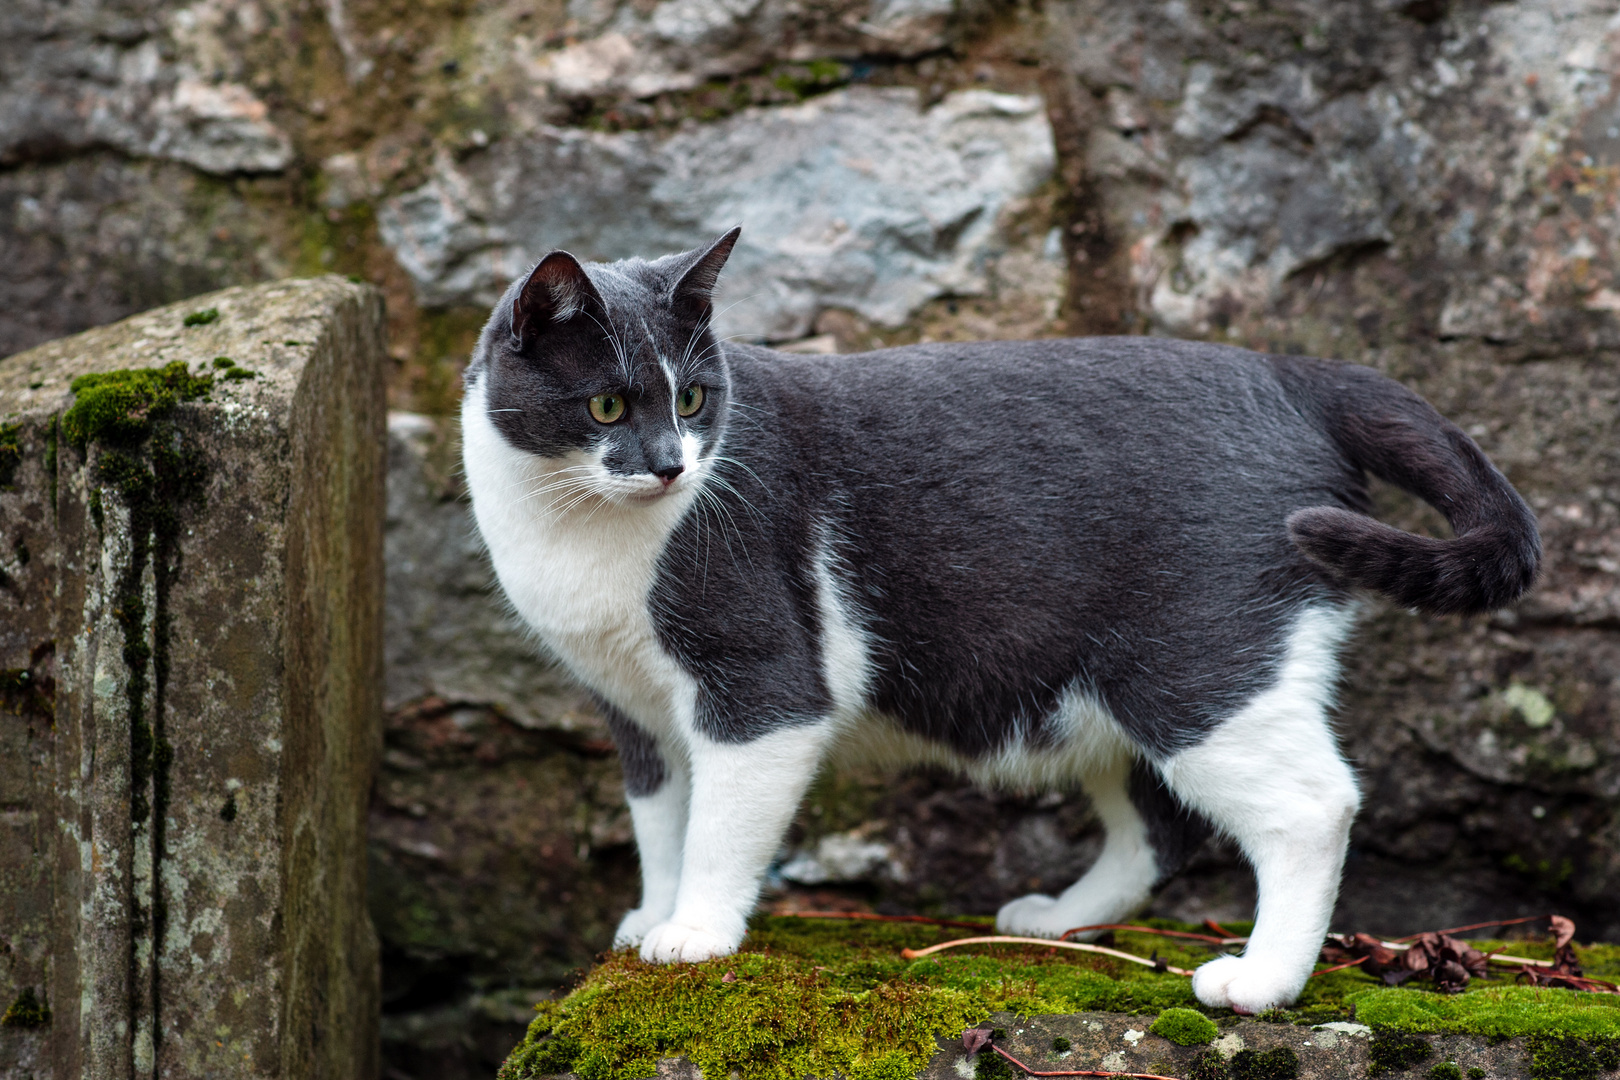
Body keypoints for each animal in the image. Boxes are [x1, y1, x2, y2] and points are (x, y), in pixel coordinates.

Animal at [463, 228, 1535, 1016]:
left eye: (691, 398)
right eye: (607, 406)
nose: (670, 465)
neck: (578, 530)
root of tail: (1294, 374)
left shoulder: (759, 688)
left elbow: (720, 827)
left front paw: (694, 933)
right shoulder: (634, 710)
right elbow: (661, 818)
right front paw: (650, 914)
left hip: (1197, 663)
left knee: (1312, 806)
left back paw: (1262, 983)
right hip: (1108, 684)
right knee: (1161, 822)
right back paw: (1059, 918)